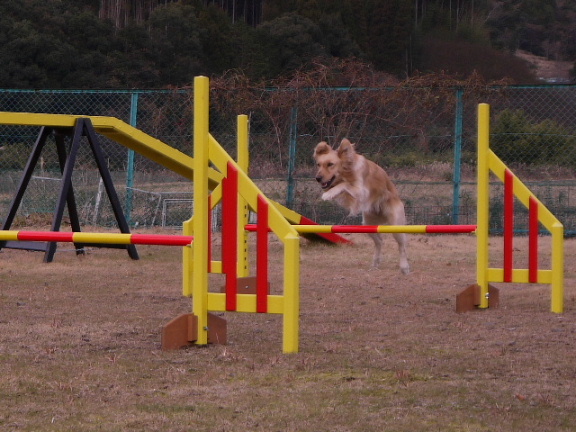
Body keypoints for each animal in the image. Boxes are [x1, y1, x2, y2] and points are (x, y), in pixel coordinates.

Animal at [316, 138, 410, 274]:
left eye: (330, 164)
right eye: (318, 164)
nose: (317, 178)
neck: (348, 171)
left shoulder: (362, 191)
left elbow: (344, 185)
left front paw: (329, 194)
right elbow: (342, 185)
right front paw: (331, 192)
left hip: (396, 224)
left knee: (402, 246)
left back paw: (404, 267)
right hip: (368, 224)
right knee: (380, 241)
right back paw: (376, 262)